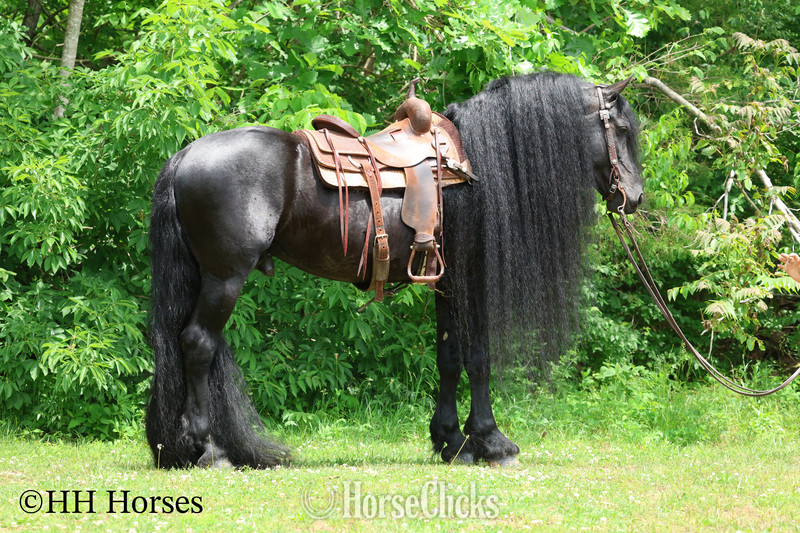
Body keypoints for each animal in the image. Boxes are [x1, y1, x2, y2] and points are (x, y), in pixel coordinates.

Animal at [146, 71, 644, 469]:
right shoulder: (471, 276)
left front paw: (451, 441)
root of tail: (184, 156)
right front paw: (491, 441)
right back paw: (208, 450)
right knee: (198, 345)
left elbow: (449, 357)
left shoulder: (446, 283)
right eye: (620, 129)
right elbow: (478, 357)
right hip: (224, 278)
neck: (475, 168)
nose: (635, 197)